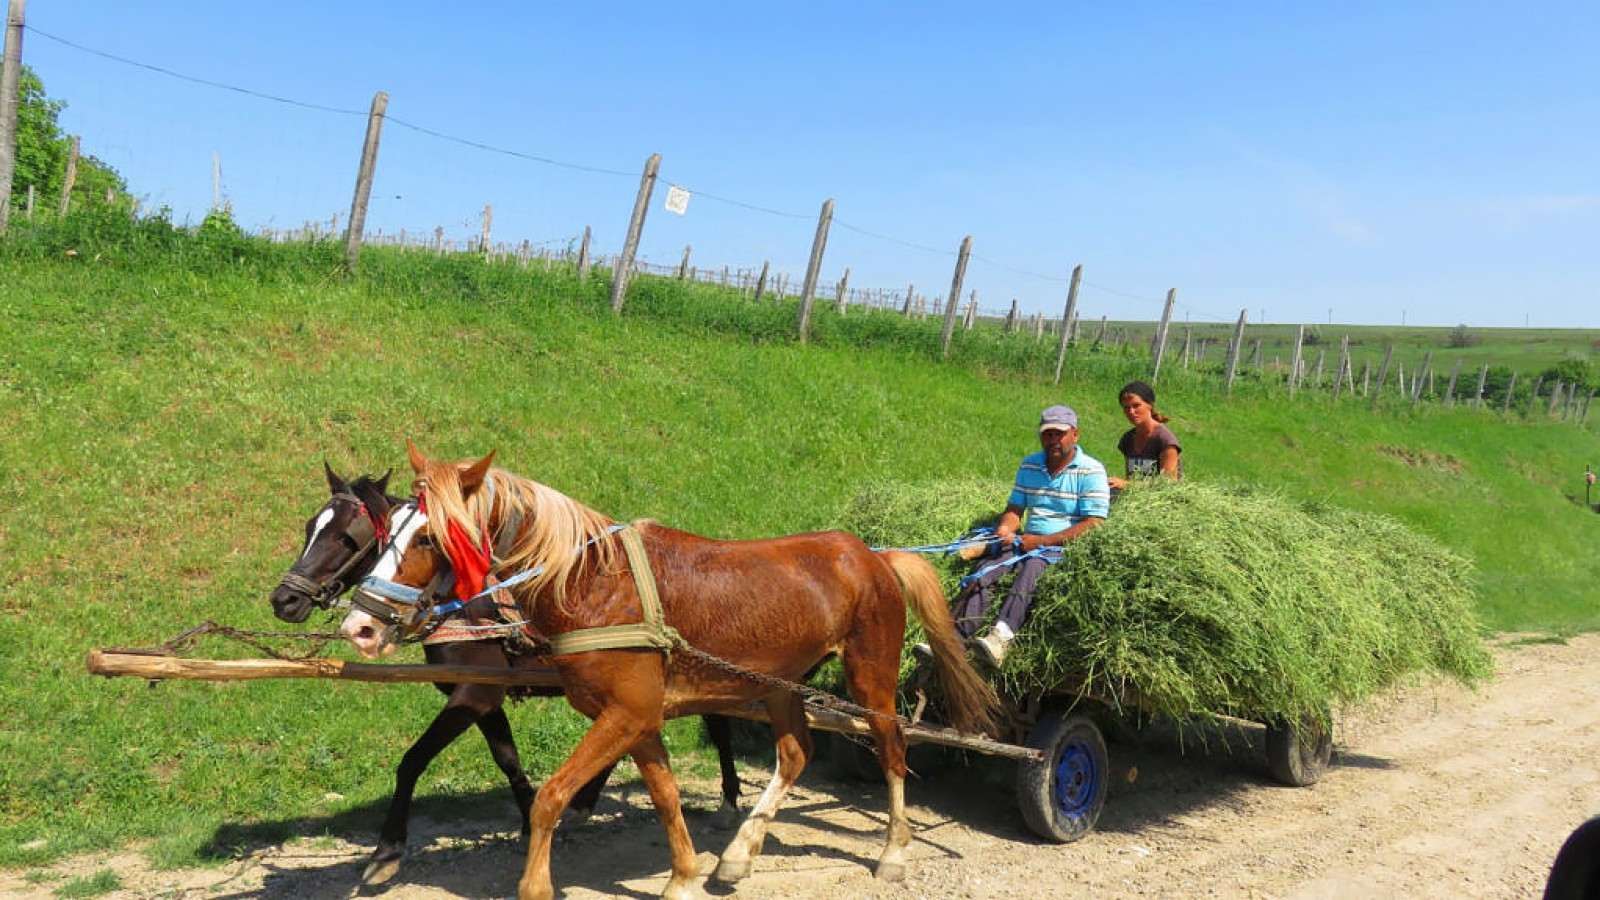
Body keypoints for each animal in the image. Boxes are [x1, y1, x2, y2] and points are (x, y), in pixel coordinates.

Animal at [270, 461, 742, 883]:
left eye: (346, 537)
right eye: (310, 527)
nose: (284, 599)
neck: (464, 606)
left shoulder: (474, 693)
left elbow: (413, 759)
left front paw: (387, 850)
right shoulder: (484, 695)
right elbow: (507, 758)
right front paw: (528, 820)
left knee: (716, 723)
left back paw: (729, 801)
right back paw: (587, 802)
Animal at [369, 441, 998, 896]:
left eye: (428, 536)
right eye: (387, 529)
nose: (363, 625)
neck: (595, 583)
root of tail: (875, 554)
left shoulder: (624, 716)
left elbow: (552, 796)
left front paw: (536, 885)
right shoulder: (635, 718)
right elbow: (666, 796)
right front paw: (684, 877)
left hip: (872, 678)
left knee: (893, 748)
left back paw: (893, 851)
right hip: (780, 684)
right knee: (796, 753)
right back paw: (739, 856)